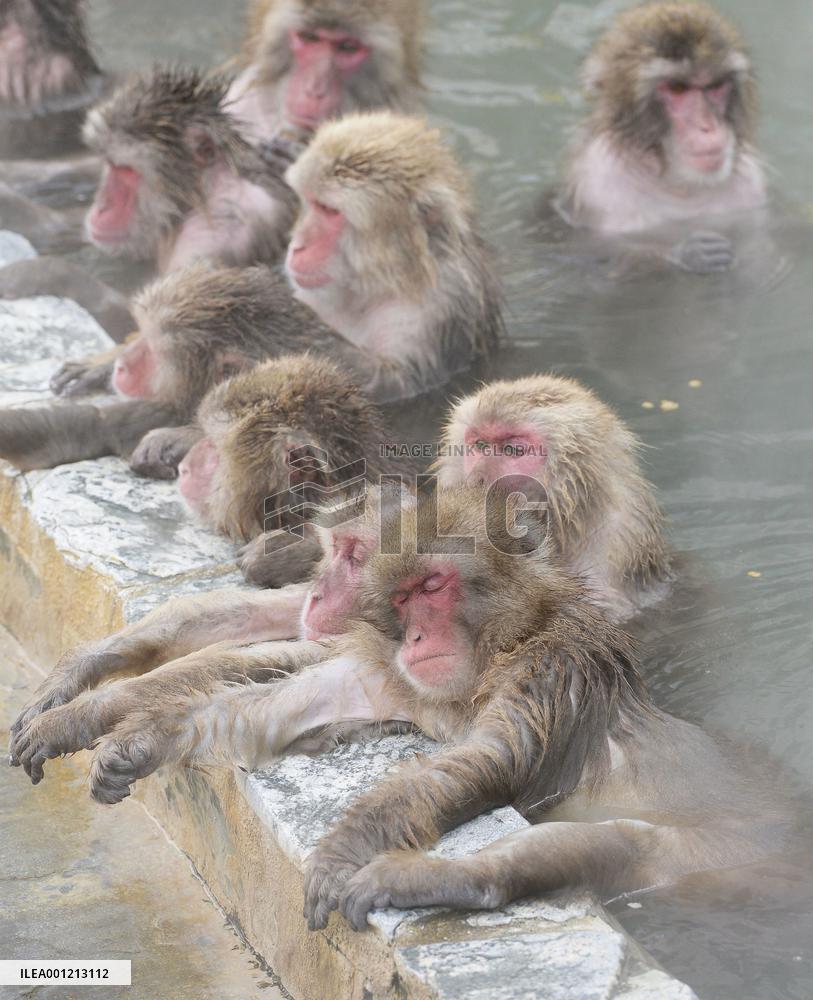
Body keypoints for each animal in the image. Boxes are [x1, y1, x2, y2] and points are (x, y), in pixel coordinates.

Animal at [551, 1, 767, 274]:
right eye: (677, 88)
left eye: (716, 86)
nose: (707, 126)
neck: (677, 186)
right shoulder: (597, 185)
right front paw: (688, 254)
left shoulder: (752, 182)